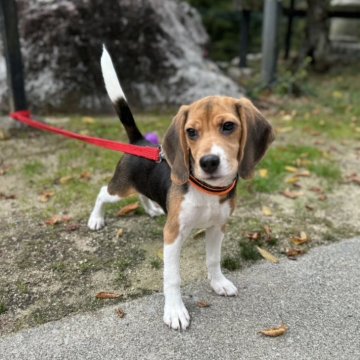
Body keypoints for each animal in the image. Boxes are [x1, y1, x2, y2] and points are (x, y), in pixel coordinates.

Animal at [88, 47, 274, 330]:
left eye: (228, 126)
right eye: (191, 132)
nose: (208, 162)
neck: (208, 191)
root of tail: (139, 141)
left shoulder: (218, 227)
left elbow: (213, 259)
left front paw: (219, 283)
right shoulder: (173, 234)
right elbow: (172, 278)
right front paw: (175, 310)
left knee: (141, 194)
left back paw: (152, 208)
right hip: (119, 188)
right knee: (101, 192)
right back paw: (96, 219)